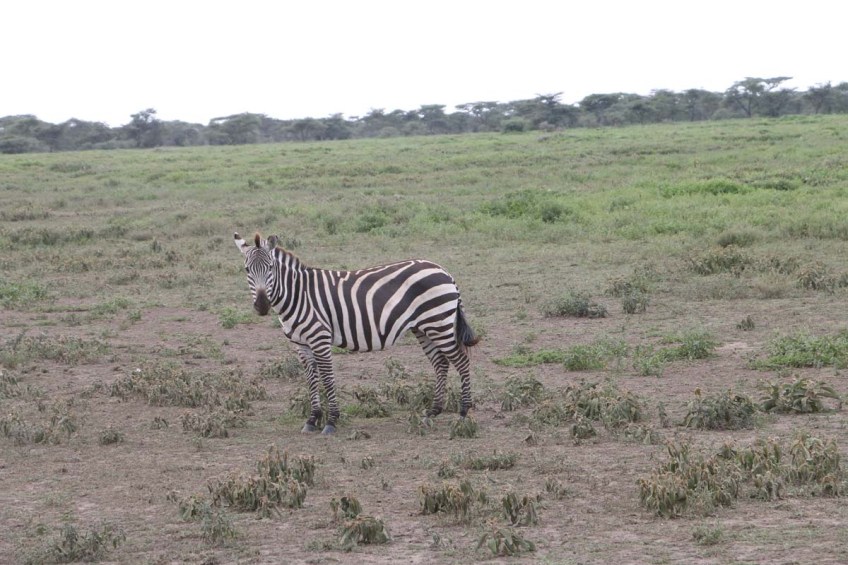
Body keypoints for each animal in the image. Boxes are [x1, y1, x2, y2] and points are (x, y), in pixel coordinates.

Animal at [234, 232, 479, 435]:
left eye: (271, 268)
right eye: (247, 270)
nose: (262, 306)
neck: (298, 295)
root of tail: (443, 271)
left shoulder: (320, 339)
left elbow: (327, 378)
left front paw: (331, 421)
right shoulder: (301, 345)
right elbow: (311, 380)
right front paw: (312, 419)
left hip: (439, 323)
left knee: (461, 361)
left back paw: (463, 412)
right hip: (424, 328)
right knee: (441, 364)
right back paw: (431, 413)